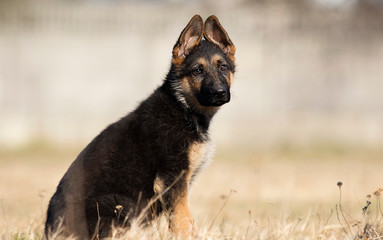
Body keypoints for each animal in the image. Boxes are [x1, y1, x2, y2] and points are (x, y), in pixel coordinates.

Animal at [45, 14, 237, 238]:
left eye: (223, 67)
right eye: (197, 71)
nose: (219, 93)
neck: (183, 106)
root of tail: (50, 232)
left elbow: (182, 218)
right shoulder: (172, 177)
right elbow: (182, 219)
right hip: (121, 204)